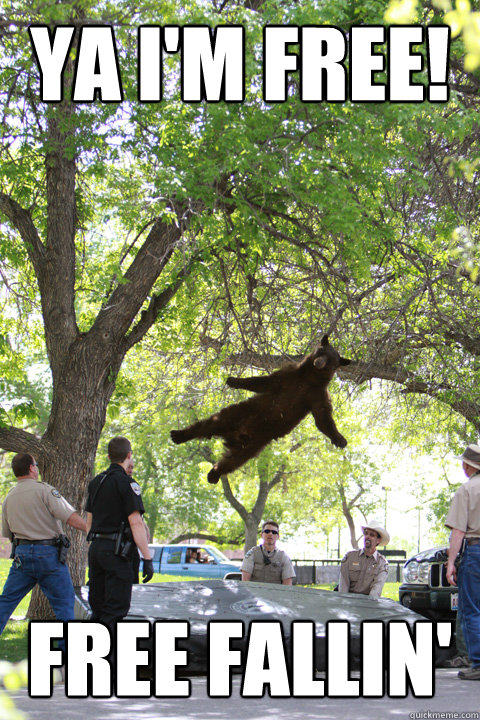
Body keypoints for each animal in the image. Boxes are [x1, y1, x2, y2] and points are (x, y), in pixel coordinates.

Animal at [171, 336, 350, 484]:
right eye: (321, 351)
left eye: (331, 360)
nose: (319, 362)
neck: (309, 378)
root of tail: (234, 436)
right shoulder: (289, 376)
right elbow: (263, 382)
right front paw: (233, 380)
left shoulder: (317, 395)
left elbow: (323, 418)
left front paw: (340, 439)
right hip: (238, 413)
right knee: (208, 424)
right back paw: (179, 435)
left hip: (254, 445)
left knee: (233, 461)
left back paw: (213, 474)